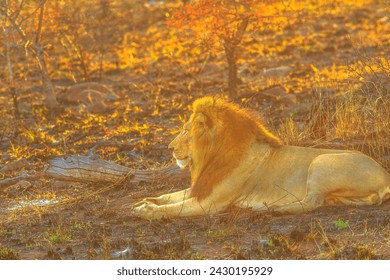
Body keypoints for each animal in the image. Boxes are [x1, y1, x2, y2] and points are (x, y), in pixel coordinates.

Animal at [132, 96, 390, 219]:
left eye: (186, 131)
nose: (169, 147)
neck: (213, 156)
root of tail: (385, 176)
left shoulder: (211, 203)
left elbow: (176, 208)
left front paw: (146, 210)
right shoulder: (204, 187)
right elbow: (172, 195)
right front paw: (146, 200)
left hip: (320, 163)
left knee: (311, 203)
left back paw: (272, 209)